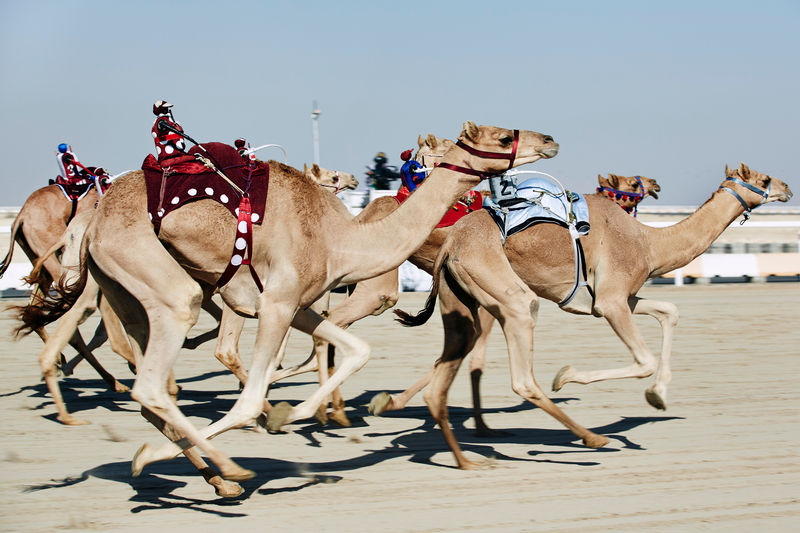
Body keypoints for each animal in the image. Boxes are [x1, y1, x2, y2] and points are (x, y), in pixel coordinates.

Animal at [390, 162, 792, 466]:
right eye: (763, 180)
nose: (787, 187)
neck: (649, 244)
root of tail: (451, 244)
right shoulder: (611, 301)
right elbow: (643, 360)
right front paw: (568, 377)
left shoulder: (619, 297)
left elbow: (670, 311)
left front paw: (658, 395)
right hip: (508, 296)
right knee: (520, 372)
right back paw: (589, 439)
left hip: (462, 302)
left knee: (454, 358)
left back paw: (460, 452)